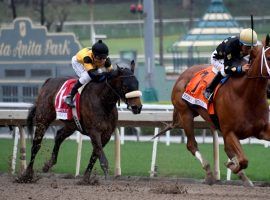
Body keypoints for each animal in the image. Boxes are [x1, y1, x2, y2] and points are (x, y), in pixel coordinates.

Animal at [155, 35, 270, 186]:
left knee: (225, 149)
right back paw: (209, 172)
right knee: (192, 145)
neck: (247, 96)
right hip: (186, 114)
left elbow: (238, 157)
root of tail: (181, 75)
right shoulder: (229, 132)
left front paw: (235, 167)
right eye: (268, 56)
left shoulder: (262, 130)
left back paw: (244, 179)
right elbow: (243, 160)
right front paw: (232, 166)